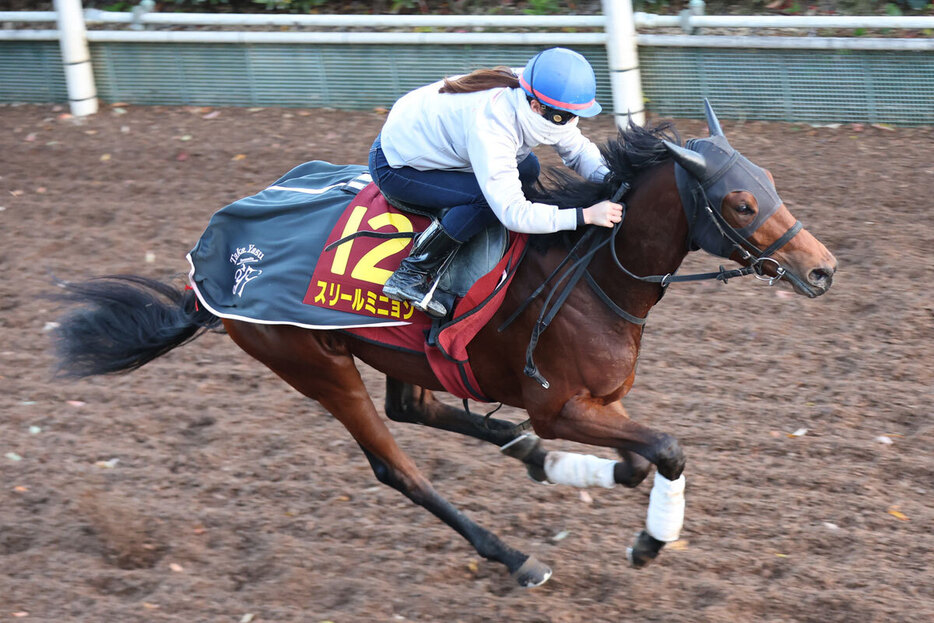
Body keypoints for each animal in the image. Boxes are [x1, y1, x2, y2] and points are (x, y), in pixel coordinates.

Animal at [53, 103, 840, 588]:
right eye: (740, 202)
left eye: (770, 182)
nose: (822, 269)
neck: (594, 269)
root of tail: (210, 262)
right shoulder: (559, 404)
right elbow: (668, 448)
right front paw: (649, 539)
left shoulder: (600, 401)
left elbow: (641, 455)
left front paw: (597, 474)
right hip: (313, 363)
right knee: (396, 464)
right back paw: (517, 557)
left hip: (399, 352)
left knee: (417, 408)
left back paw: (539, 462)